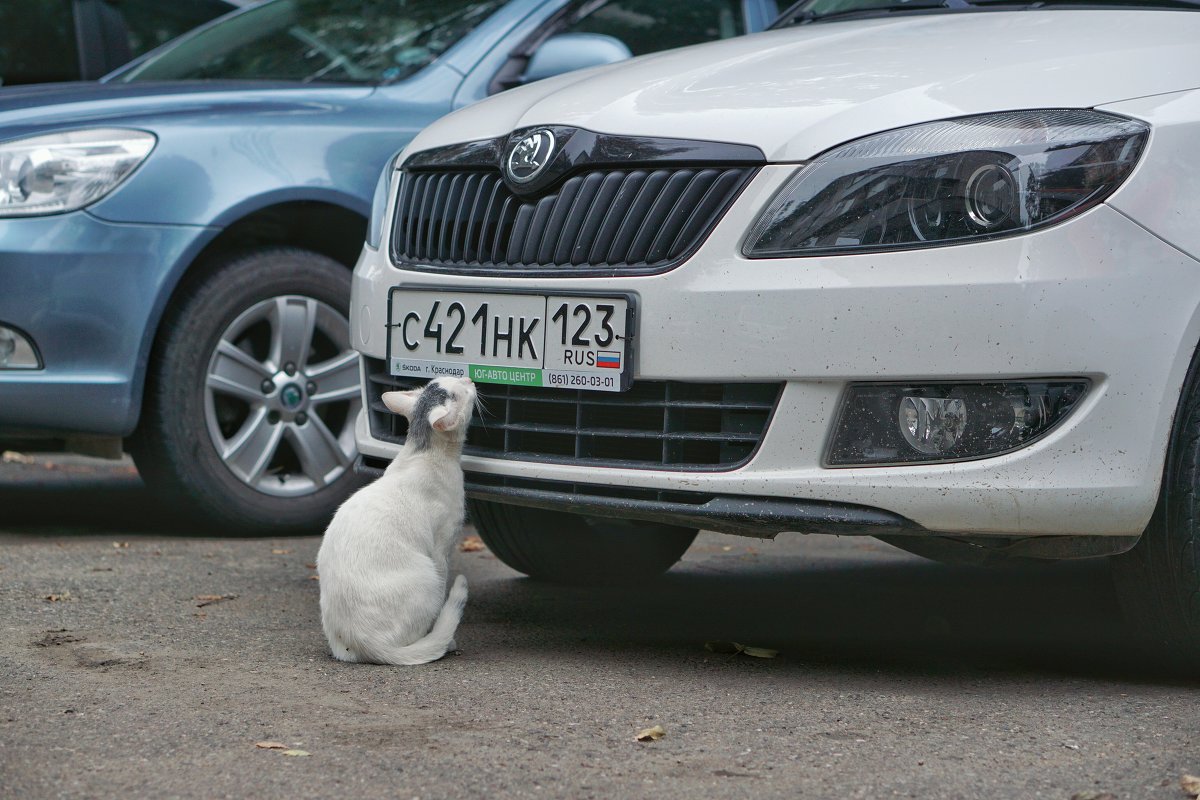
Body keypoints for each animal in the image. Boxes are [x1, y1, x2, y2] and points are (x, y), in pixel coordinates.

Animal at [319, 379, 477, 666]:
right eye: (460, 391)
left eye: (449, 378)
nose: (469, 380)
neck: (422, 451)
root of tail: (368, 643)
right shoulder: (442, 548)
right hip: (428, 575)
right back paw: (439, 643)